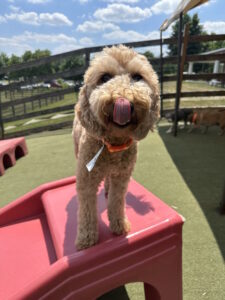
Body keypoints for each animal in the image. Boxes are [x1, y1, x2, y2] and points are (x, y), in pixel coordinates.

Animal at [72, 44, 160, 251]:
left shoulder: (122, 176)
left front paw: (119, 225)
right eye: (104, 78)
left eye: (137, 77)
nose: (123, 99)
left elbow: (116, 200)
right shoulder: (86, 180)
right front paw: (86, 239)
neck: (113, 144)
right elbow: (86, 210)